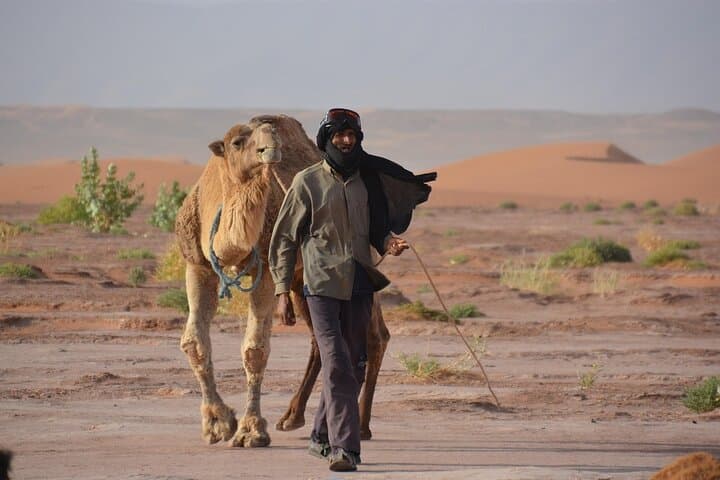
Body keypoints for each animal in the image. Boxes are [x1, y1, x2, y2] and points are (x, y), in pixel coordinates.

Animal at [175, 114, 389, 446]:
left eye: (270, 132)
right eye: (237, 142)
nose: (270, 147)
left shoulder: (265, 266)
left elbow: (255, 349)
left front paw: (251, 430)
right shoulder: (198, 265)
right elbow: (194, 343)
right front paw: (217, 424)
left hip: (361, 265)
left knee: (376, 335)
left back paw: (362, 426)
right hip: (301, 280)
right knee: (320, 339)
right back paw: (292, 417)